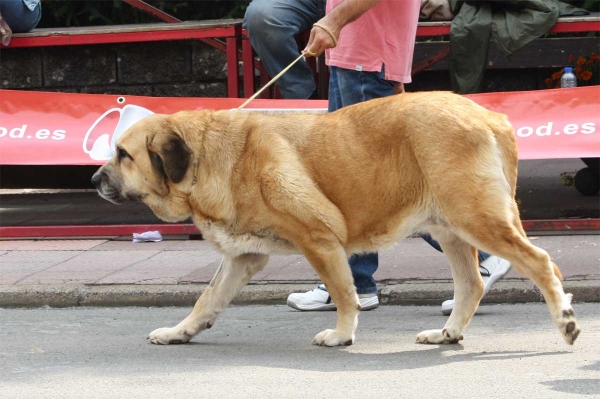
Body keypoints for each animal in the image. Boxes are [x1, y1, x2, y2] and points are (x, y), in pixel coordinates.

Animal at [92, 92, 580, 348]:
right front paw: (181, 332)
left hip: (474, 217)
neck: (210, 160)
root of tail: (491, 115)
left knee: (541, 263)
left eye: (124, 155)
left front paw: (342, 334)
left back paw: (566, 321)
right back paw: (447, 333)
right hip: (450, 228)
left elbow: (345, 293)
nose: (94, 178)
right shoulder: (243, 258)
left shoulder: (319, 240)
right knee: (472, 283)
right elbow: (206, 300)